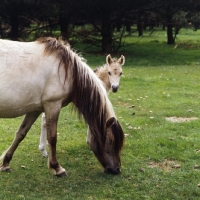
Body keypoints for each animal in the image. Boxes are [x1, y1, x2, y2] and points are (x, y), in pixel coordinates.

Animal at [0, 36, 124, 176]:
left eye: (120, 73)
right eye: (111, 141)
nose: (116, 169)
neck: (69, 71)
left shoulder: (35, 109)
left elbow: (21, 133)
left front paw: (6, 162)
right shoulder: (53, 105)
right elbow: (52, 137)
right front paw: (57, 168)